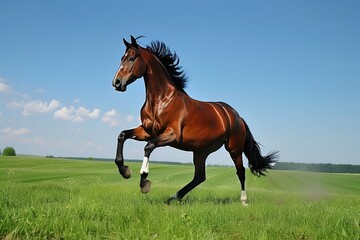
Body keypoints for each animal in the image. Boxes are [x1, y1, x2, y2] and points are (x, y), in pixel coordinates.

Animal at [112, 35, 278, 204]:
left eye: (132, 58)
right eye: (122, 58)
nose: (116, 82)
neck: (162, 100)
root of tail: (237, 116)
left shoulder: (172, 134)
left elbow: (149, 146)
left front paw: (144, 182)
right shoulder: (147, 131)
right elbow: (122, 135)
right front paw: (124, 170)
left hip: (234, 149)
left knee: (241, 171)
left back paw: (243, 201)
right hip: (201, 151)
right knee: (200, 176)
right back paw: (175, 197)